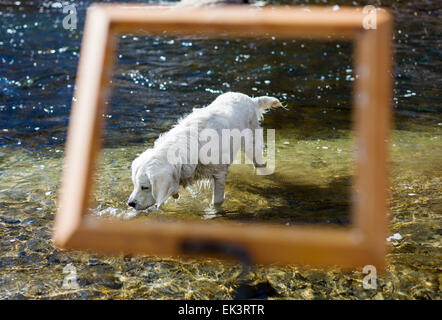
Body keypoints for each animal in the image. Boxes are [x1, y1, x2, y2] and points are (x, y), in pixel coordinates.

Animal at [127, 92, 284, 210]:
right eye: (134, 184)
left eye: (145, 187)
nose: (130, 204)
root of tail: (251, 99)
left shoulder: (219, 173)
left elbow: (217, 201)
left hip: (252, 145)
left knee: (260, 164)